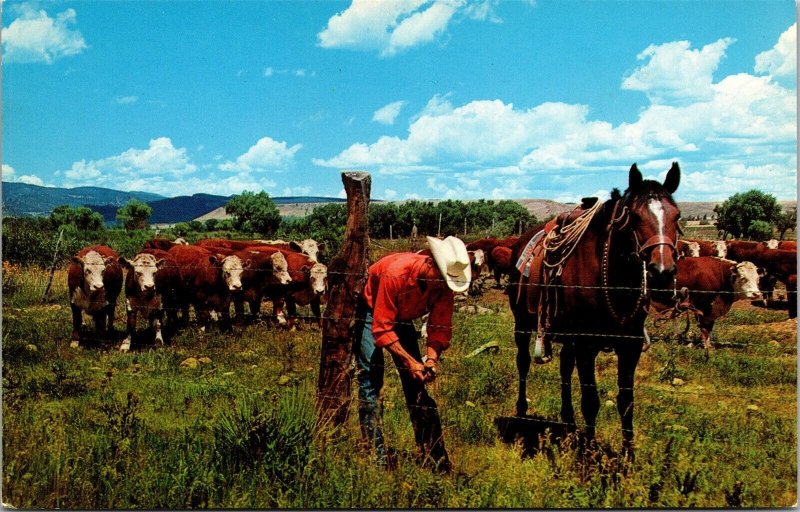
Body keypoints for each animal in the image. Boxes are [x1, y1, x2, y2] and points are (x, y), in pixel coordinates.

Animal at [510, 163, 680, 456]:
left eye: (676, 216)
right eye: (634, 217)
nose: (662, 273)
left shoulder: (630, 346)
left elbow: (626, 401)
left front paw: (628, 455)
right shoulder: (586, 346)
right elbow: (591, 401)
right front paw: (588, 454)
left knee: (565, 368)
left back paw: (568, 421)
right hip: (522, 324)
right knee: (523, 363)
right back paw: (522, 412)